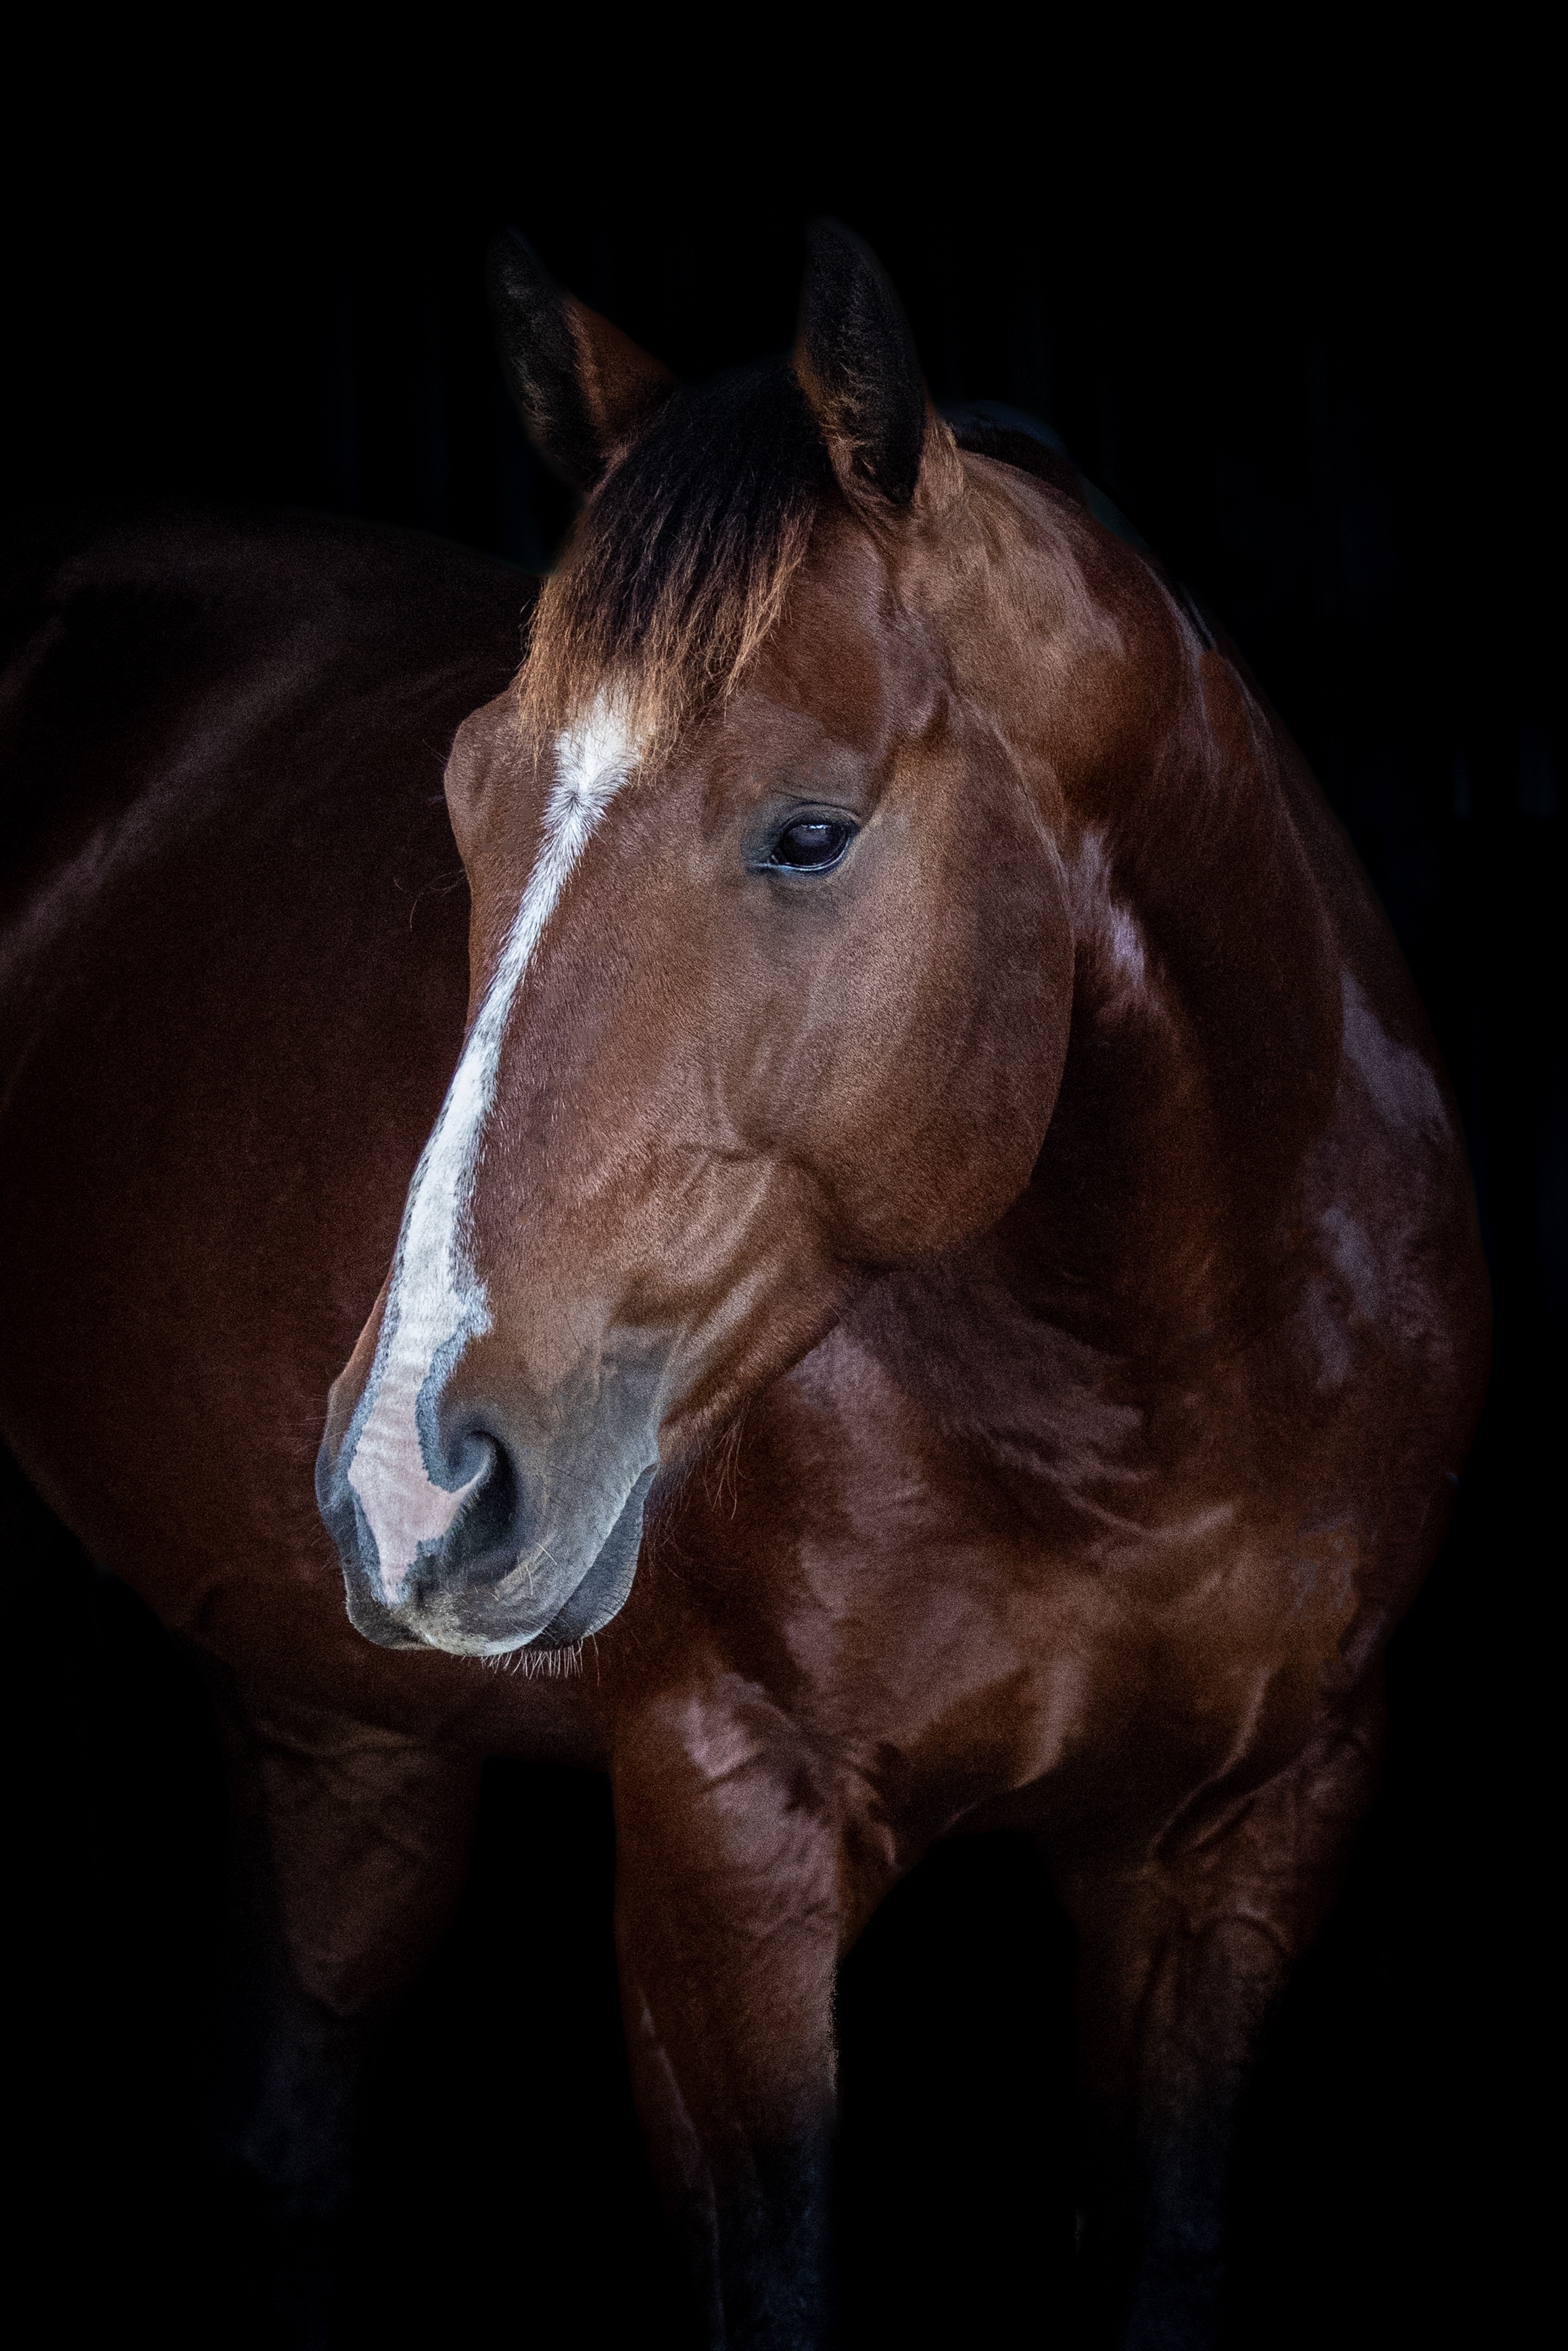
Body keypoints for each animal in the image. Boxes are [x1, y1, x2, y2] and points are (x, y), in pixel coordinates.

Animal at [0, 222, 1489, 2347]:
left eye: (807, 831)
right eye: (465, 797)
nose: (409, 1483)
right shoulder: (724, 1837)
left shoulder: (1252, 1838)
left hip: (338, 1739)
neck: (1150, 1388)